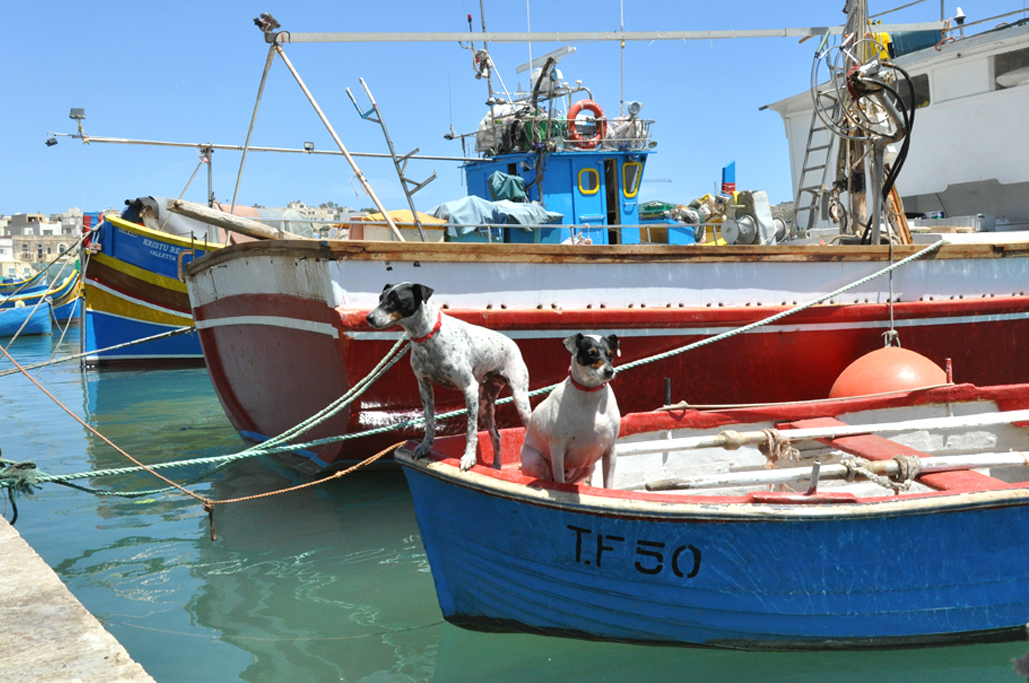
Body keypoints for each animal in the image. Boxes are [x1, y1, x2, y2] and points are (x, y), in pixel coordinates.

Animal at [368, 281, 530, 469]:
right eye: (380, 298)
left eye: (396, 300)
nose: (369, 318)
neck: (427, 337)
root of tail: (513, 343)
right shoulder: (424, 386)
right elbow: (429, 422)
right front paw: (424, 447)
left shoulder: (469, 388)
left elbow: (471, 430)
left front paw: (469, 458)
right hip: (485, 405)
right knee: (496, 436)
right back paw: (497, 468)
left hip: (519, 399)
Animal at [522, 335, 617, 485]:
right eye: (591, 353)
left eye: (610, 355)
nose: (609, 371)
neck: (589, 395)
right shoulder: (557, 449)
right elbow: (559, 482)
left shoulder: (611, 450)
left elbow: (608, 484)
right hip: (534, 459)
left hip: (589, 468)